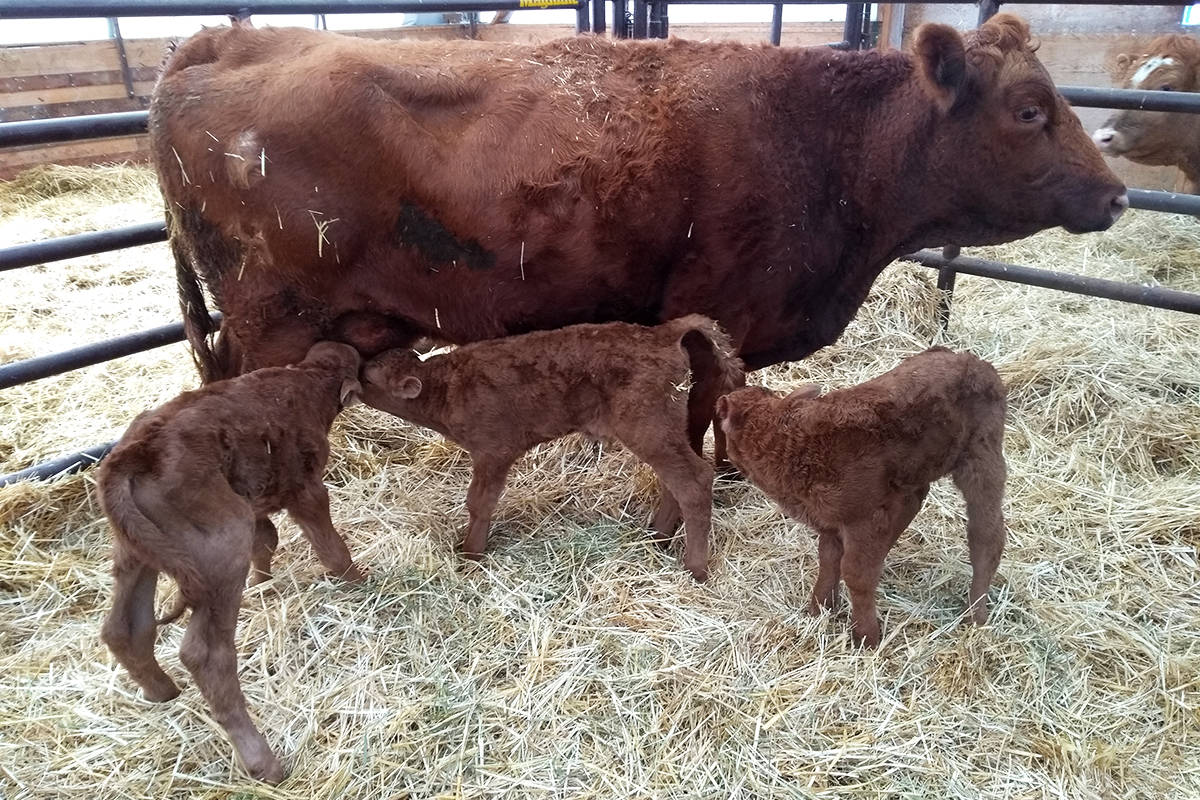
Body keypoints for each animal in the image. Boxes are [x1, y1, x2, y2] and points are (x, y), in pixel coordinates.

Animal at [97, 340, 362, 786]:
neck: (307, 380)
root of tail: (135, 453)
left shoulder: (257, 501)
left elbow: (267, 538)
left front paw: (263, 583)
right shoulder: (303, 487)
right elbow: (328, 543)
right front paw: (357, 579)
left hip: (135, 551)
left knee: (124, 627)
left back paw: (160, 691)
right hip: (222, 544)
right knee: (205, 654)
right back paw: (264, 763)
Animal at [152, 13, 1123, 391]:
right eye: (1029, 110)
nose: (1117, 195)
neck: (823, 140)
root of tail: (225, 38)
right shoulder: (725, 315)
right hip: (274, 323)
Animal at [360, 314, 744, 582]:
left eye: (367, 377)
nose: (352, 375)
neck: (448, 386)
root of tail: (663, 333)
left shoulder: (493, 451)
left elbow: (479, 503)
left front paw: (470, 554)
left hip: (649, 428)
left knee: (694, 480)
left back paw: (694, 568)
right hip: (664, 431)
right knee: (675, 481)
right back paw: (655, 537)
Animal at [715, 347, 1008, 647]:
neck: (791, 444)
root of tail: (977, 362)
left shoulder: (862, 515)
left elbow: (855, 573)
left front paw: (866, 637)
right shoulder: (830, 520)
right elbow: (829, 558)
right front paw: (820, 608)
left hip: (982, 453)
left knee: (987, 535)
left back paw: (976, 614)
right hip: (919, 466)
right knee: (915, 498)